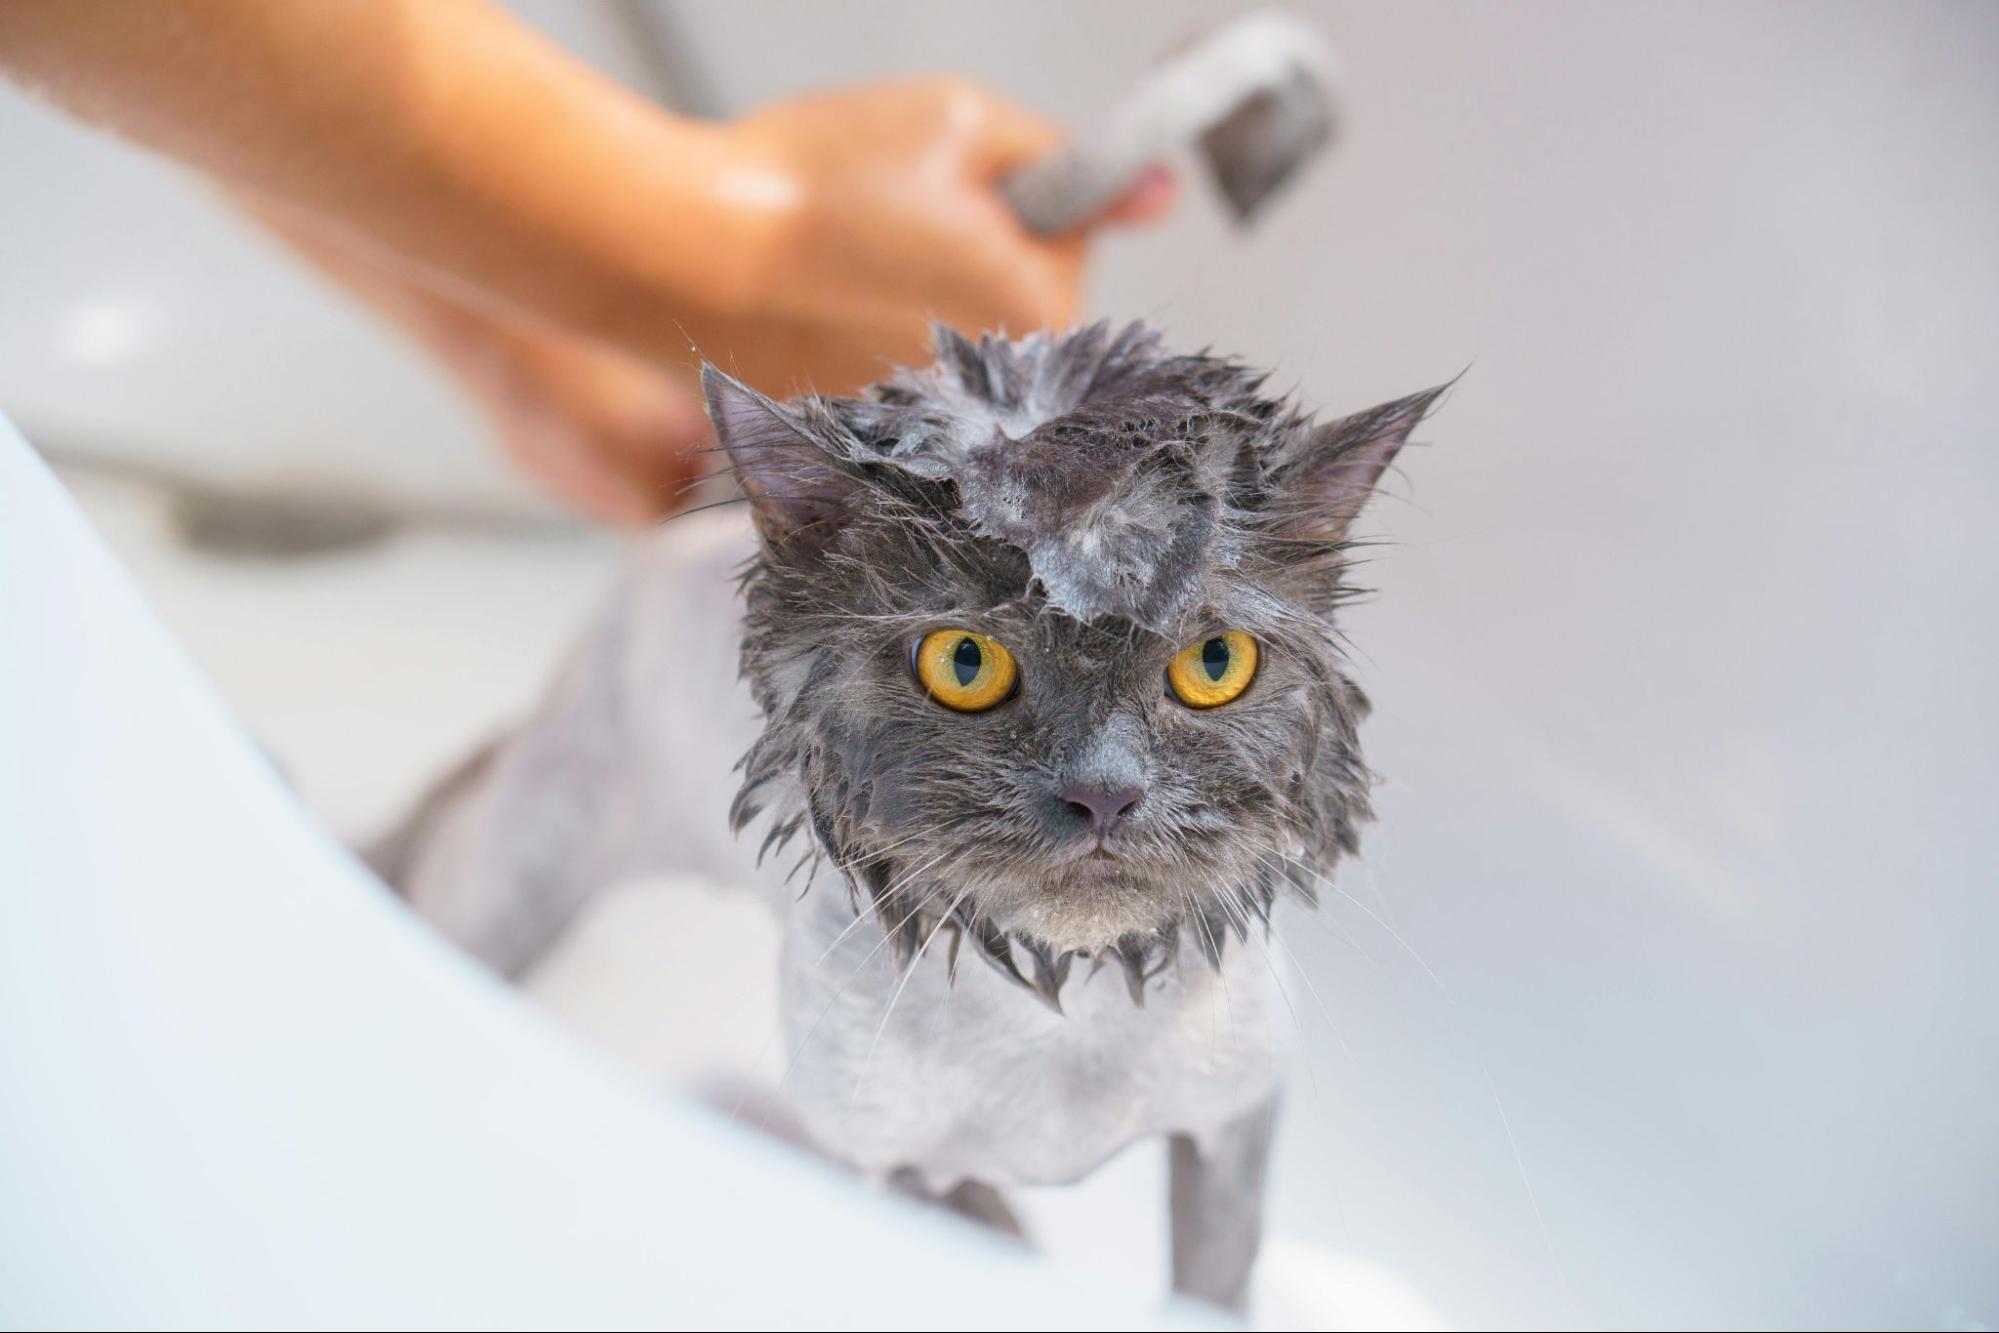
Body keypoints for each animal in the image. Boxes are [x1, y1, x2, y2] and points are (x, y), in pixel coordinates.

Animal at [371, 323, 1439, 1311]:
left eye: (1213, 662)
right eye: (965, 662)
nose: (1105, 790)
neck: (1058, 1029)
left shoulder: (1232, 1126)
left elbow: (1213, 1281)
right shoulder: (879, 1167)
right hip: (519, 871)